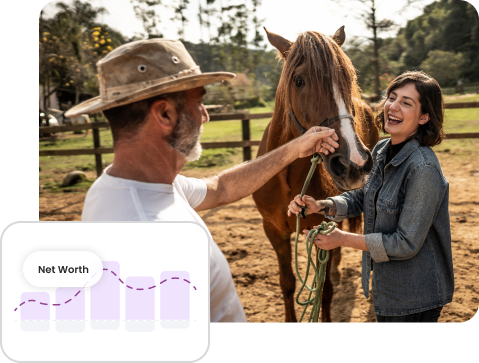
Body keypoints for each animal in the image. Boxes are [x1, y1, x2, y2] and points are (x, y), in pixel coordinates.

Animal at [253, 26, 380, 324]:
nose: (354, 162)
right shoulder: (273, 231)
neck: (286, 179)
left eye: (348, 77)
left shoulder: (323, 229)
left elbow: (325, 290)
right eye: (299, 80)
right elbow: (287, 283)